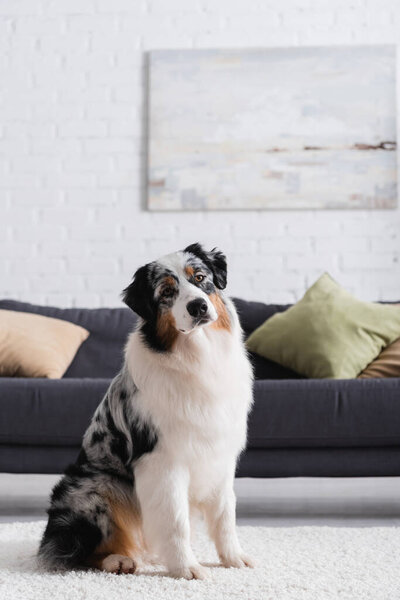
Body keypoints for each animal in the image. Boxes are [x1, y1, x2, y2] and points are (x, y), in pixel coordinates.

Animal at [37, 241, 253, 580]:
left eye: (200, 277)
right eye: (167, 292)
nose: (198, 307)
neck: (196, 357)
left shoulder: (219, 453)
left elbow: (224, 514)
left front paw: (233, 559)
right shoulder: (162, 460)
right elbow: (176, 520)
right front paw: (186, 568)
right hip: (95, 489)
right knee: (76, 550)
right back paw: (118, 560)